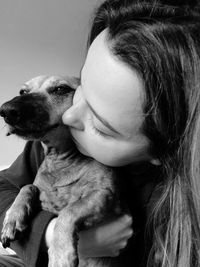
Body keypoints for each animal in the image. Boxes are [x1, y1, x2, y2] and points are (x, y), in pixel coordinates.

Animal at [0, 75, 126, 267]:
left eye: (61, 89)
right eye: (23, 92)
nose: (6, 110)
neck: (60, 160)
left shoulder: (104, 195)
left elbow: (69, 211)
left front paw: (60, 254)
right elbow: (27, 186)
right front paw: (12, 219)